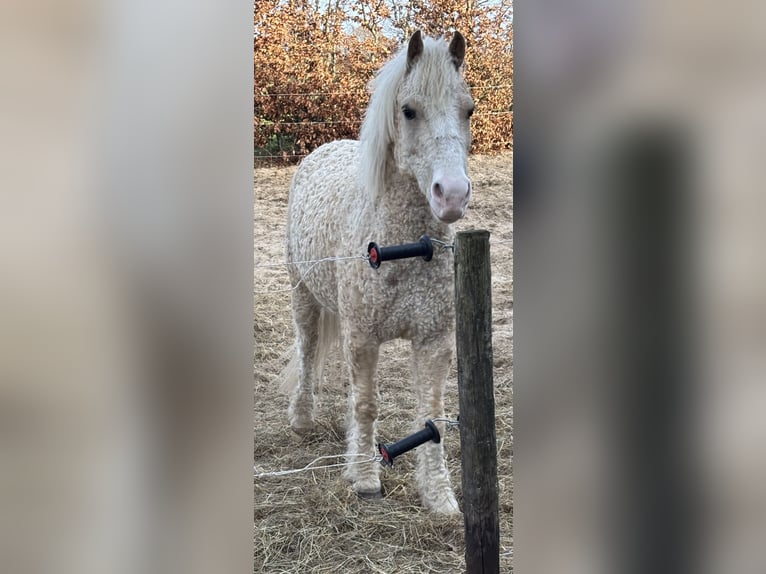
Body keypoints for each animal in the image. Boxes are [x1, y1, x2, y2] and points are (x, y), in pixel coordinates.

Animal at [282, 30, 474, 514]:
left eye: (468, 109)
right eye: (408, 110)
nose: (452, 195)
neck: (406, 249)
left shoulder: (433, 341)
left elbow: (431, 416)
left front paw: (440, 496)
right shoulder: (363, 338)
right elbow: (367, 406)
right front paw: (367, 479)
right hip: (303, 296)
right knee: (308, 351)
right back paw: (302, 419)